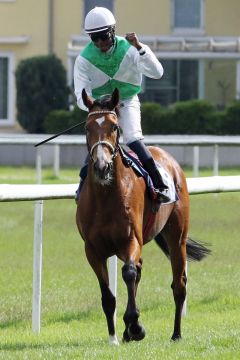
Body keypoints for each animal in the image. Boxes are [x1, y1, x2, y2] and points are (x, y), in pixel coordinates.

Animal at [76, 88, 209, 344]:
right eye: (87, 127)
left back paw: (176, 334)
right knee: (139, 273)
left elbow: (128, 272)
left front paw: (136, 326)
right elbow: (108, 294)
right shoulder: (92, 249)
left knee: (178, 284)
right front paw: (115, 337)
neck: (105, 197)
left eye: (114, 126)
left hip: (176, 237)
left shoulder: (131, 239)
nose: (101, 166)